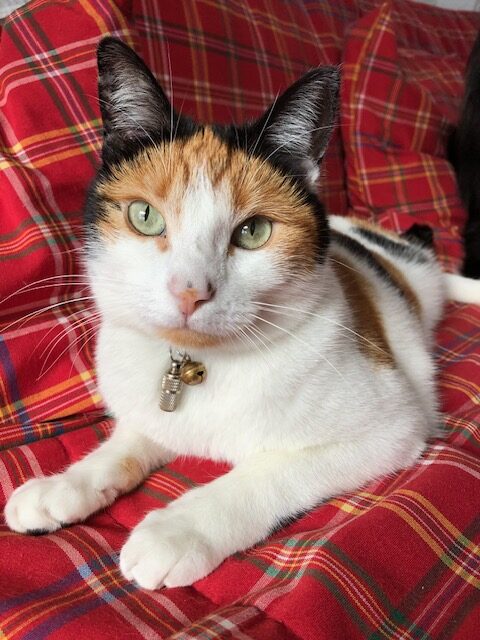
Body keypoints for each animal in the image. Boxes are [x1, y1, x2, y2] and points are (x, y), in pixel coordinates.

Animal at [5, 37, 480, 590]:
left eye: (253, 231)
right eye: (144, 216)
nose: (190, 292)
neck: (195, 367)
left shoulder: (392, 428)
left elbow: (263, 473)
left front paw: (176, 531)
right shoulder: (151, 408)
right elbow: (126, 444)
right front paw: (64, 485)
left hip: (419, 285)